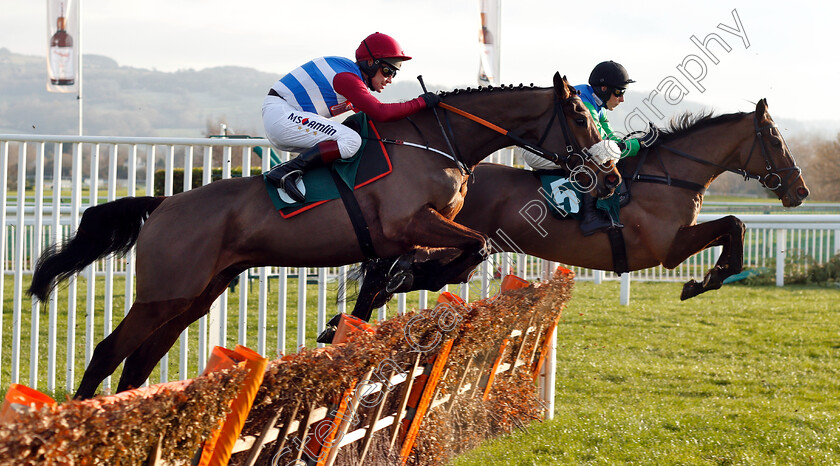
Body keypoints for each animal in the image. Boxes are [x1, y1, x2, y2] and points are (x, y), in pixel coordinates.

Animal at [29, 72, 620, 396]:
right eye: (580, 116)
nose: (610, 173)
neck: (437, 140)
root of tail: (165, 204)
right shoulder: (406, 224)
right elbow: (470, 246)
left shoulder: (407, 238)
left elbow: (431, 266)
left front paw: (360, 312)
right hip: (163, 292)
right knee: (108, 352)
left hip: (195, 296)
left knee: (139, 362)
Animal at [346, 97, 808, 318]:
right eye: (775, 138)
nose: (799, 189)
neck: (669, 175)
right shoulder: (667, 248)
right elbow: (734, 223)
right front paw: (703, 281)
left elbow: (735, 226)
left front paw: (710, 277)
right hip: (436, 234)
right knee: (388, 273)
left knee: (398, 273)